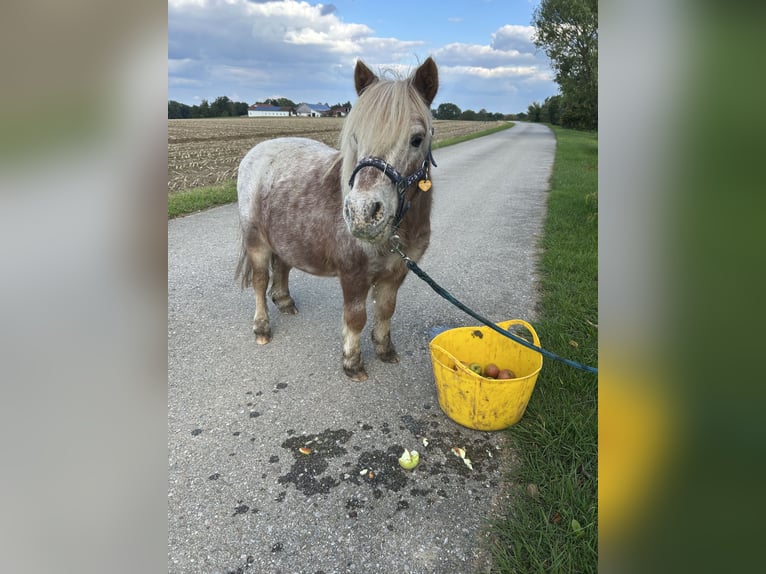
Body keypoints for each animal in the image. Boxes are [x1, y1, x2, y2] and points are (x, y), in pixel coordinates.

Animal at [235, 57, 439, 381]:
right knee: (258, 281)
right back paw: (262, 328)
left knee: (282, 266)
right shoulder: (353, 275)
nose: (362, 212)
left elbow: (386, 310)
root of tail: (256, 152)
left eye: (417, 139)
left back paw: (284, 301)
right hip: (256, 242)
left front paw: (385, 349)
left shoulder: (397, 272)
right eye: (356, 137)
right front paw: (352, 363)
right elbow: (356, 318)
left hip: (283, 238)